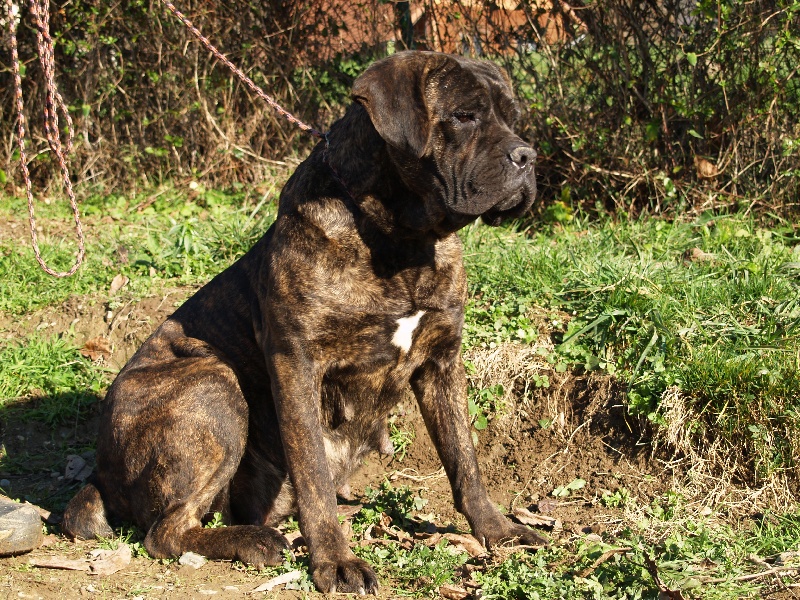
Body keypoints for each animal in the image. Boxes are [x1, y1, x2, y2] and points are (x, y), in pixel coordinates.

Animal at [64, 49, 544, 592]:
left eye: (513, 118)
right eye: (464, 116)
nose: (527, 156)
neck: (400, 239)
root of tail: (101, 471)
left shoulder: (441, 361)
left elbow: (465, 461)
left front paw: (497, 531)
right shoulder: (297, 365)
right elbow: (313, 473)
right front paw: (335, 560)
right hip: (213, 387)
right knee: (165, 531)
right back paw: (254, 540)